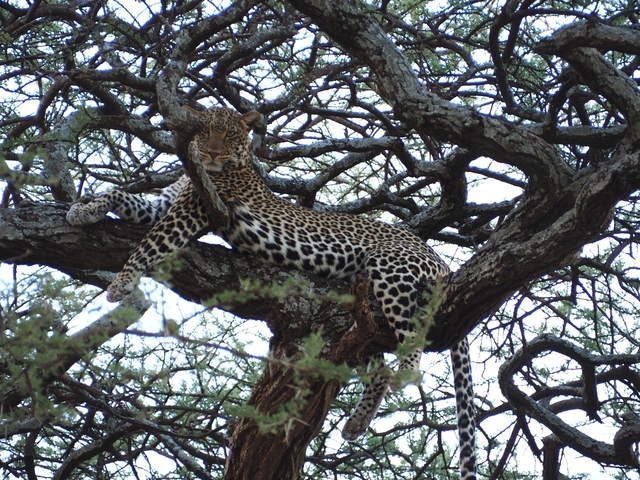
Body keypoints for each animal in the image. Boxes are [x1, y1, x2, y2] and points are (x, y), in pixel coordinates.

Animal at [66, 105, 476, 479]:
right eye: (204, 133)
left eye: (230, 135)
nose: (210, 154)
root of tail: (437, 256)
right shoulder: (163, 204)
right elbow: (121, 193)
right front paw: (82, 211)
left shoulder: (193, 210)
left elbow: (149, 244)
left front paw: (120, 284)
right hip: (360, 307)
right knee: (374, 360)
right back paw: (356, 423)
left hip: (390, 271)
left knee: (412, 336)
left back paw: (405, 375)